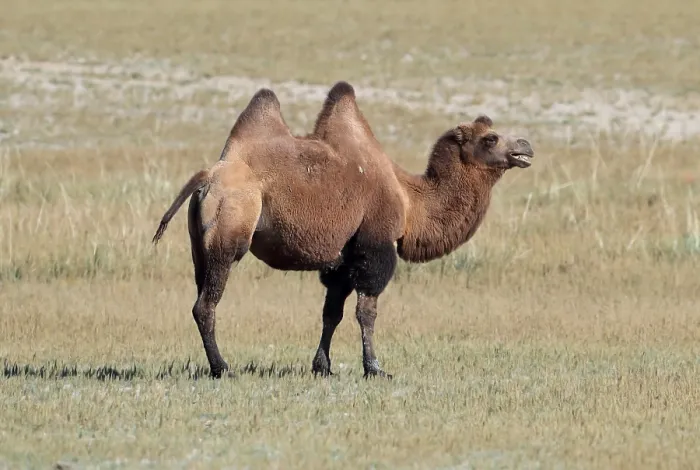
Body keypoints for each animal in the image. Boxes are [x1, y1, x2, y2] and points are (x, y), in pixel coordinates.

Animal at [152, 81, 534, 379]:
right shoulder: (375, 245)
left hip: (199, 245)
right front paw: (375, 368)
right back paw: (223, 368)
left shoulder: (342, 258)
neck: (410, 200)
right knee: (206, 304)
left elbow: (331, 313)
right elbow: (367, 312)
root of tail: (207, 178)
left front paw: (323, 367)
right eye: (490, 138)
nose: (525, 145)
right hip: (230, 229)